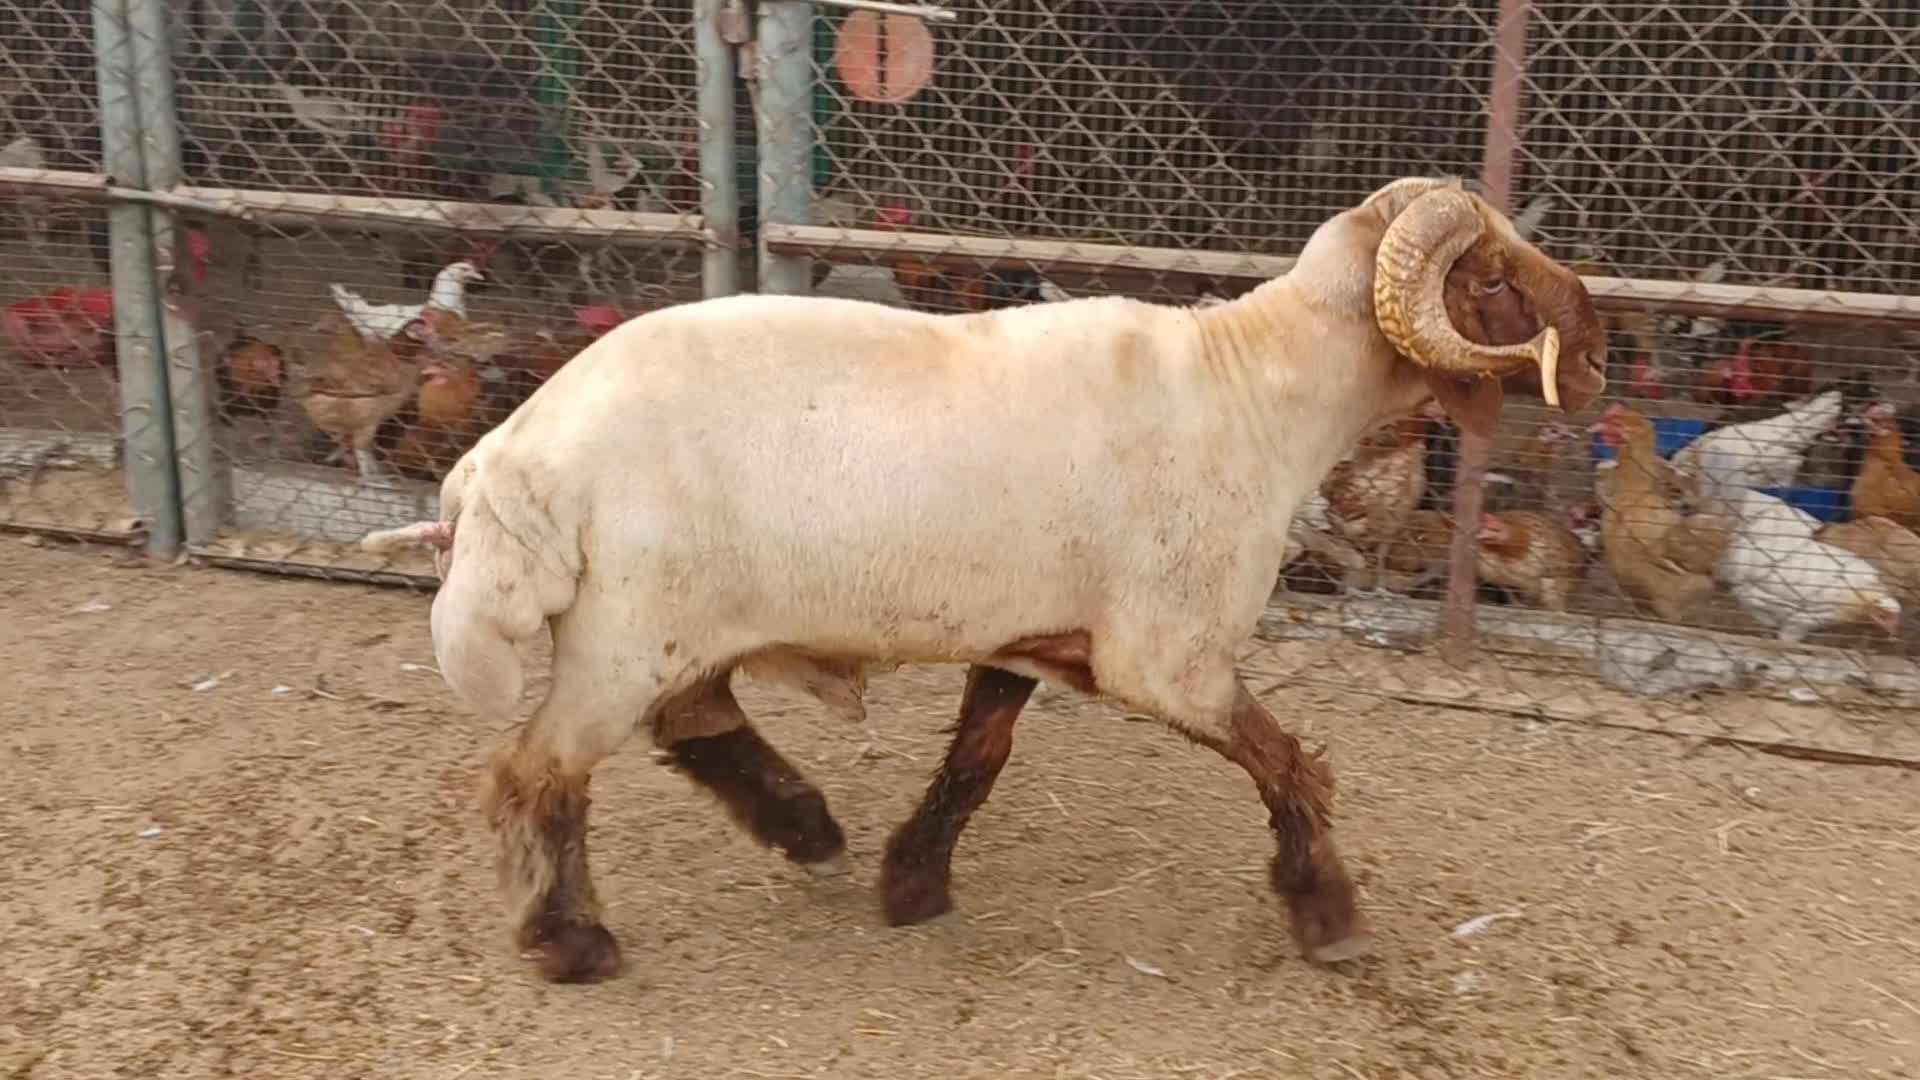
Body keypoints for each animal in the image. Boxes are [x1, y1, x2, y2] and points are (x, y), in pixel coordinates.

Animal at [361, 176, 1609, 985]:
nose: (1596, 351)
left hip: (664, 626)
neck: (1256, 390)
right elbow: (1291, 767)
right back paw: (570, 941)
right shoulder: (1169, 655)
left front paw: (912, 884)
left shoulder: (1033, 633)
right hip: (624, 630)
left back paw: (803, 827)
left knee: (688, 720)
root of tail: (507, 458)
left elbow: (976, 760)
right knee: (539, 774)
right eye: (1494, 273)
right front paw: (1329, 915)